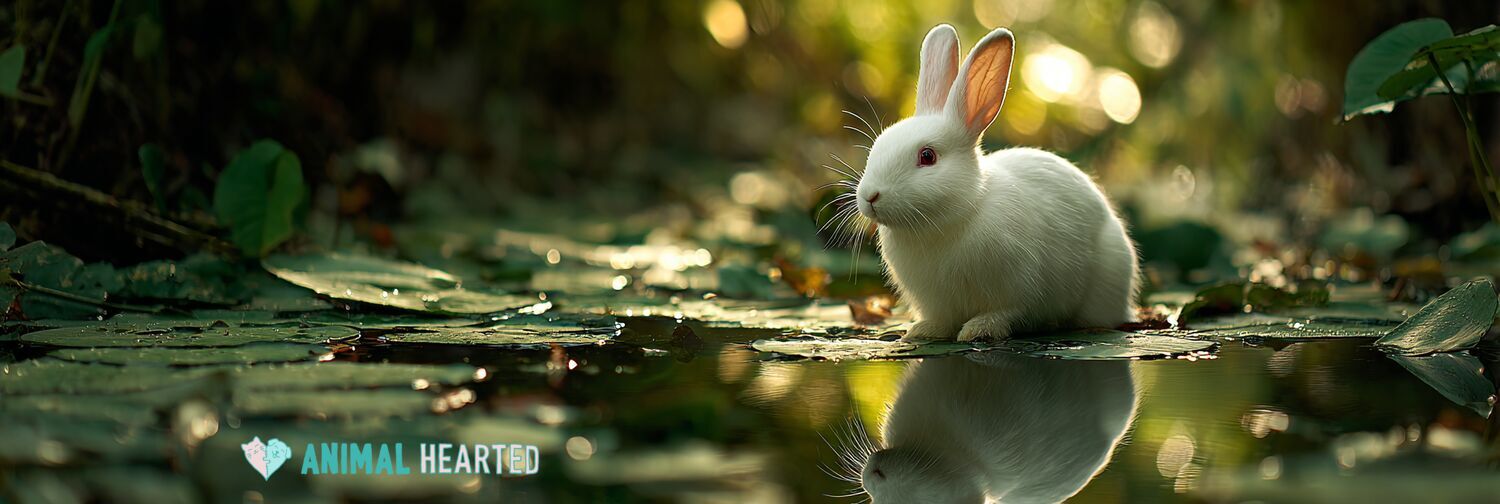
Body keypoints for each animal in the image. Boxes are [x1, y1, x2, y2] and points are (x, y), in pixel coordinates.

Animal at [853, 24, 1140, 342]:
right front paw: (920, 331)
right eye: (877, 145)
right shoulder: (937, 303)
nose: (869, 196)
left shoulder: (1018, 288)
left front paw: (977, 330)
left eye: (927, 156)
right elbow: (941, 321)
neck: (950, 220)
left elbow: (1006, 313)